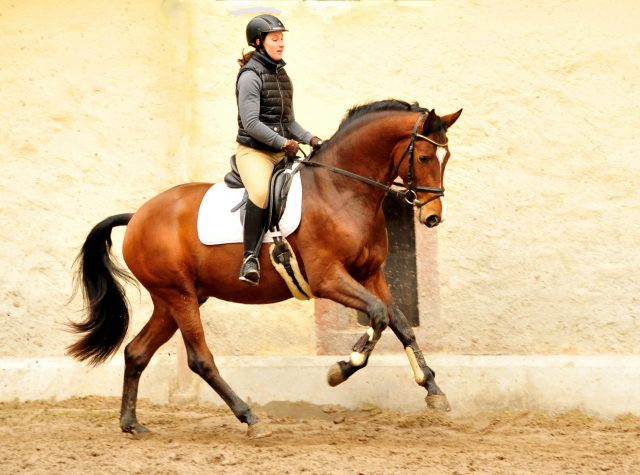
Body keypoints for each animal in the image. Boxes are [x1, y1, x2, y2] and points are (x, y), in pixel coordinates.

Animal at [69, 99, 460, 438]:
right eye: (424, 156)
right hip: (179, 296)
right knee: (200, 359)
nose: (432, 216)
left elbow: (401, 324)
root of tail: (137, 216)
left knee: (136, 352)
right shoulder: (328, 279)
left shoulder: (371, 274)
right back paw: (251, 418)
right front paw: (343, 368)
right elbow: (378, 315)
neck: (341, 190)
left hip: (172, 301)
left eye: (447, 157)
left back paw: (131, 423)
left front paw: (433, 389)